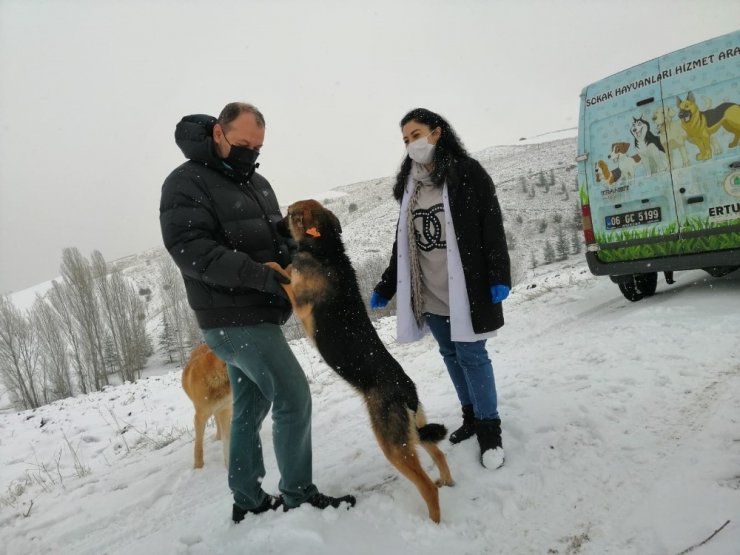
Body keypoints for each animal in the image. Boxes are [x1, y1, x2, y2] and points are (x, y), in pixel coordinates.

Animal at [264, 200, 454, 524]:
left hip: (392, 443)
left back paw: (434, 522)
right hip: (413, 430)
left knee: (427, 487)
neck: (326, 247)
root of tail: (406, 389)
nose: (274, 224)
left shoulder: (298, 298)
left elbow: (282, 271)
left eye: (289, 215)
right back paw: (448, 480)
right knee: (438, 453)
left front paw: (267, 264)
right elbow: (286, 268)